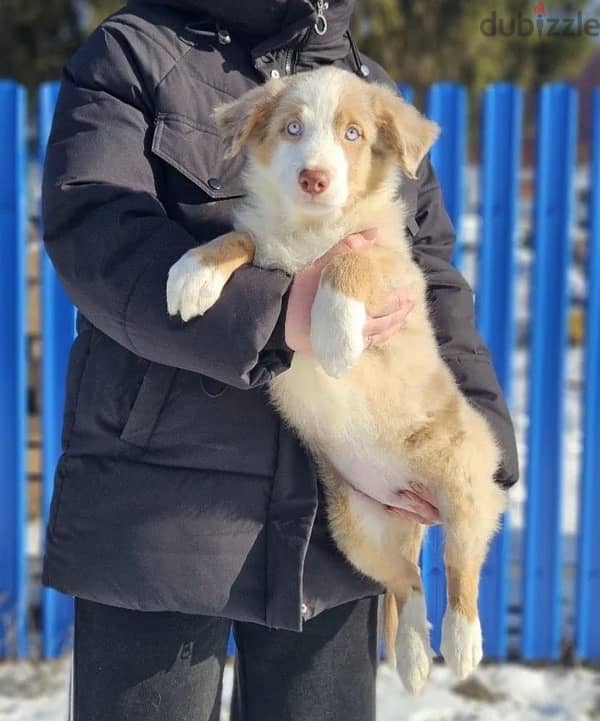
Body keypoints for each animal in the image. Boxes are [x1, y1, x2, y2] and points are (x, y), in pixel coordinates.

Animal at [165, 67, 506, 692]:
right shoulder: (267, 249)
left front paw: (337, 332)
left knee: (461, 561)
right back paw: (414, 657)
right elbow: (240, 239)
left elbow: (354, 260)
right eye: (292, 129)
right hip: (356, 531)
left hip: (465, 480)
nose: (314, 178)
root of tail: (413, 508)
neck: (312, 232)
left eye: (353, 134)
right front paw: (193, 274)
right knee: (406, 580)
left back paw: (463, 642)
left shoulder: (394, 265)